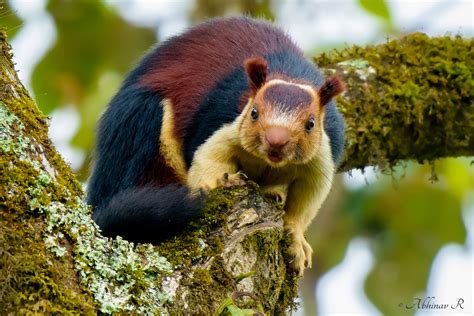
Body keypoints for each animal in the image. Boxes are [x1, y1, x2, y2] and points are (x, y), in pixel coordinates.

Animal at [88, 16, 344, 274]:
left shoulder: (323, 156)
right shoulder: (217, 121)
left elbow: (305, 203)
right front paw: (223, 182)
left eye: (311, 123)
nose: (276, 141)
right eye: (253, 112)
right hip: (140, 122)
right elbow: (206, 163)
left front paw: (296, 242)